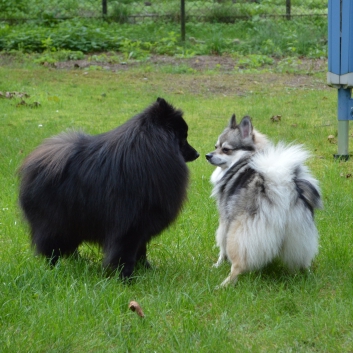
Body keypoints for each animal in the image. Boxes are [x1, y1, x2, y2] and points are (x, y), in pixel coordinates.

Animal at [17, 97, 198, 278]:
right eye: (183, 136)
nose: (197, 153)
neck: (148, 152)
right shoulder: (130, 225)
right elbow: (125, 253)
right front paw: (126, 278)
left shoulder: (143, 225)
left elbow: (141, 250)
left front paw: (145, 269)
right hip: (56, 224)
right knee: (52, 250)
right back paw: (53, 269)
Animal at [205, 115, 320, 286]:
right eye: (216, 146)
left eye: (225, 149)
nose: (208, 155)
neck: (245, 158)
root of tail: (280, 187)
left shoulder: (225, 220)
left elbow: (222, 246)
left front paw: (217, 264)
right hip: (298, 234)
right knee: (303, 261)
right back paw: (307, 275)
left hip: (239, 234)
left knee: (238, 264)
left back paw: (225, 284)